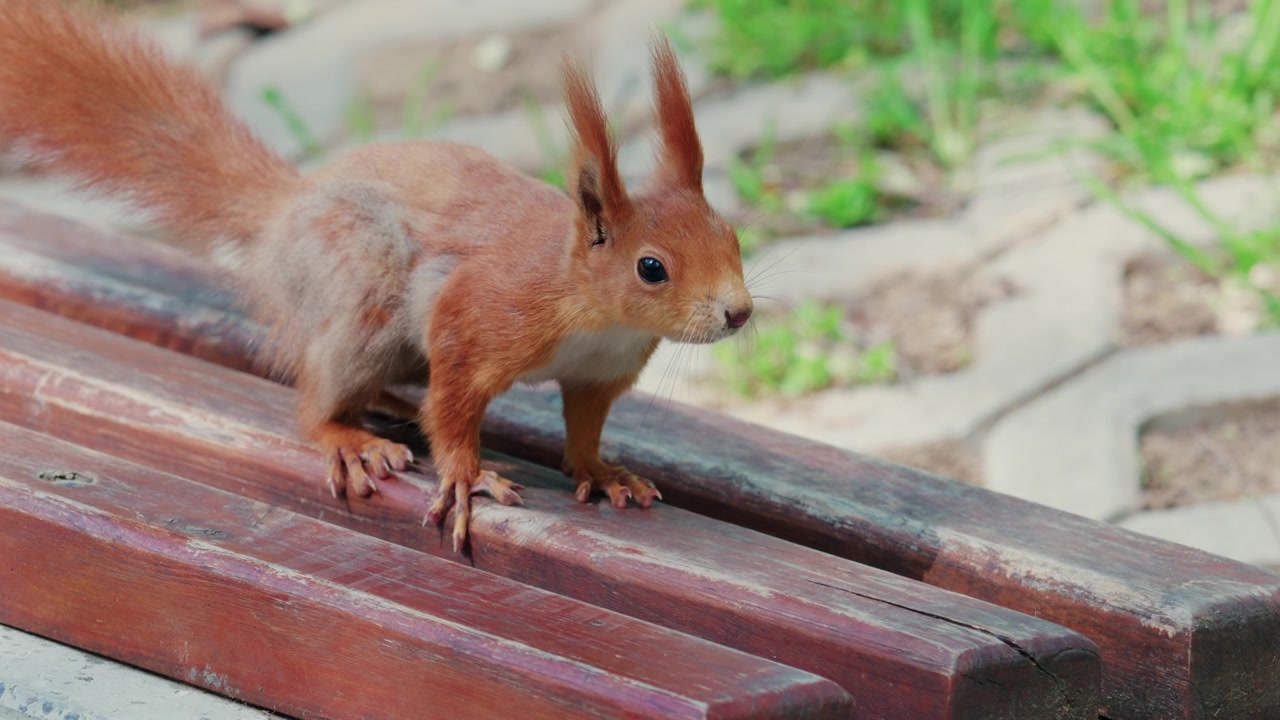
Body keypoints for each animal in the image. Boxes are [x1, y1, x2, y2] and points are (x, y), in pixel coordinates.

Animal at [0, 1, 753, 551]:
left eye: (733, 238)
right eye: (651, 268)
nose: (739, 313)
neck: (596, 314)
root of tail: (284, 215)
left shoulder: (598, 373)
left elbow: (585, 426)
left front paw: (602, 470)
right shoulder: (480, 315)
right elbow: (454, 407)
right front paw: (467, 478)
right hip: (360, 287)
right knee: (316, 399)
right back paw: (349, 436)